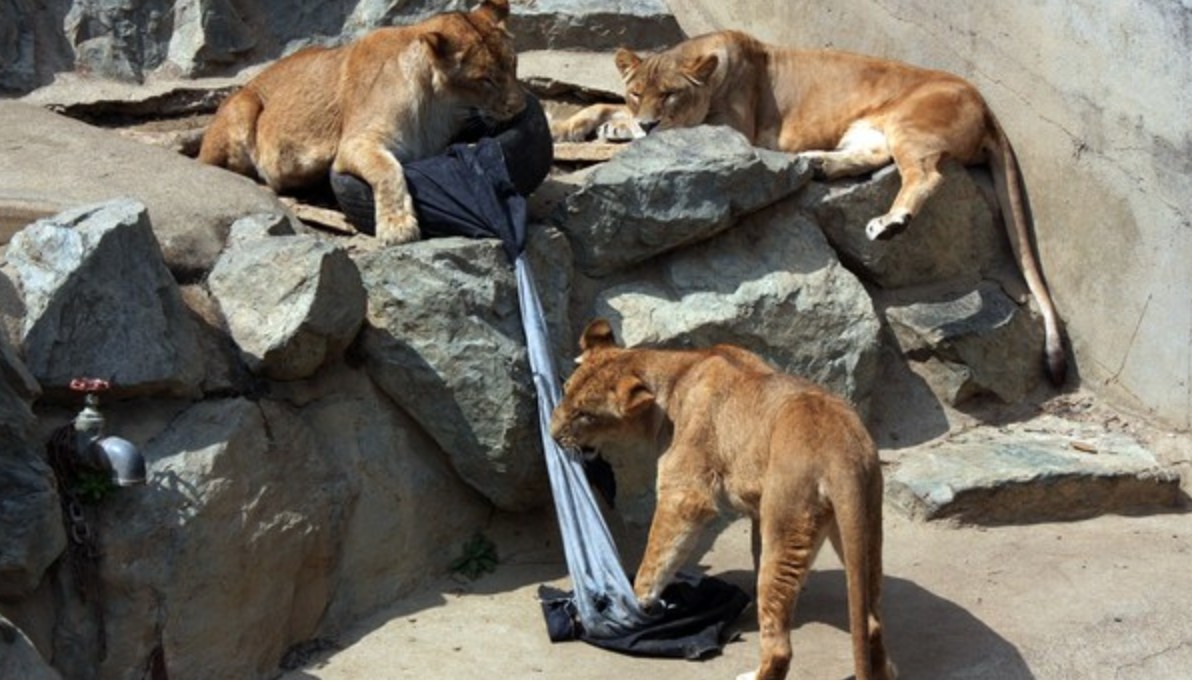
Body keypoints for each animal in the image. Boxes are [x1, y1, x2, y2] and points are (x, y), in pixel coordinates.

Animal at [198, 0, 526, 245]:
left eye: (513, 64)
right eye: (484, 79)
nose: (520, 107)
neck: (439, 110)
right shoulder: (356, 142)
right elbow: (388, 170)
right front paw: (397, 227)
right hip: (244, 106)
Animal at [550, 319, 893, 680]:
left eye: (585, 415)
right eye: (565, 390)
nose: (552, 434)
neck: (677, 375)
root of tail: (839, 446)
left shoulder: (684, 494)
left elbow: (656, 558)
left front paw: (634, 605)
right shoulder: (757, 511)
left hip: (786, 521)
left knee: (779, 644)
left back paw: (753, 674)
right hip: (862, 524)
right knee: (871, 623)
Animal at [553, 30, 1066, 386]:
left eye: (671, 94)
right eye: (637, 91)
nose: (648, 122)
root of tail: (987, 106)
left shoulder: (732, 130)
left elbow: (657, 130)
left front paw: (617, 135)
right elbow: (603, 106)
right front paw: (573, 126)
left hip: (910, 125)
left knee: (925, 175)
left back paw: (889, 223)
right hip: (867, 130)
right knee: (875, 158)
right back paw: (817, 164)